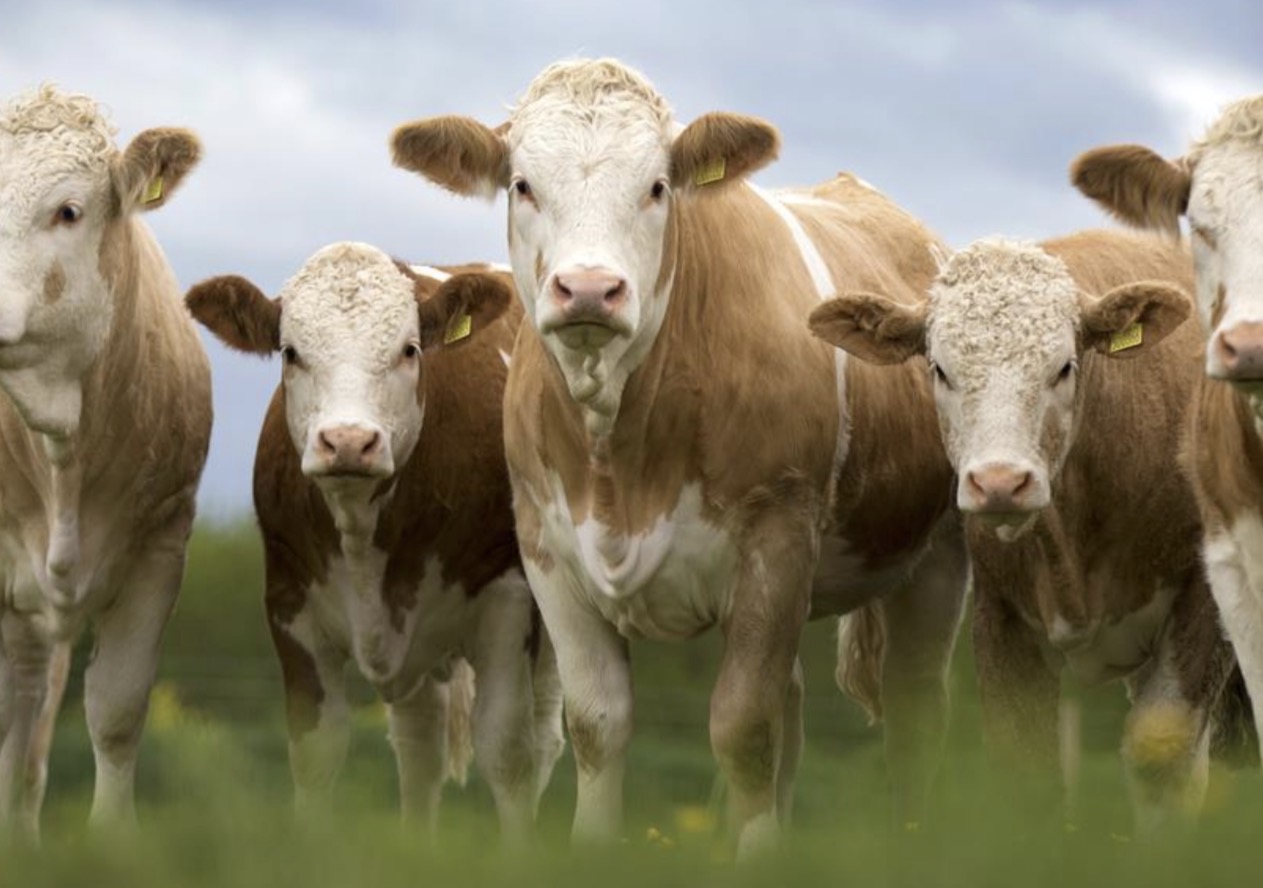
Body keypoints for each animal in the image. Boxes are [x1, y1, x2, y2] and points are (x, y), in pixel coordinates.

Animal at [184, 243, 564, 841]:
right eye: (290, 352)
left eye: (409, 349)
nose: (347, 441)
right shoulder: (290, 609)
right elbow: (316, 751)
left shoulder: (507, 604)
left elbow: (507, 753)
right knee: (420, 743)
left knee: (545, 737)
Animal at [389, 58, 969, 855]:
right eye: (522, 185)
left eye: (657, 186)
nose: (590, 289)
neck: (620, 461)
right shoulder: (548, 554)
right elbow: (598, 725)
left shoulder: (774, 542)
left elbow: (742, 727)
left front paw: (759, 858)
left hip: (936, 559)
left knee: (914, 715)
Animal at [809, 230, 1244, 834]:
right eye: (939, 370)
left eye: (1063, 367)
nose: (999, 482)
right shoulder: (1002, 619)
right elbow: (1029, 768)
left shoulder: (1203, 602)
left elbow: (1162, 761)